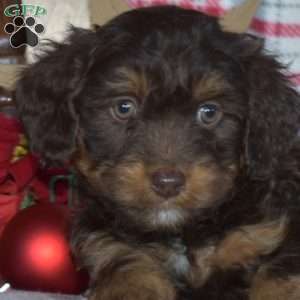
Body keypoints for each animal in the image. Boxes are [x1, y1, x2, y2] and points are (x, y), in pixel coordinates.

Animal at [15, 6, 300, 300]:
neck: (179, 233)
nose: (168, 183)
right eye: (124, 107)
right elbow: (130, 273)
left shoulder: (265, 235)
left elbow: (278, 276)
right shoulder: (110, 244)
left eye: (209, 112)